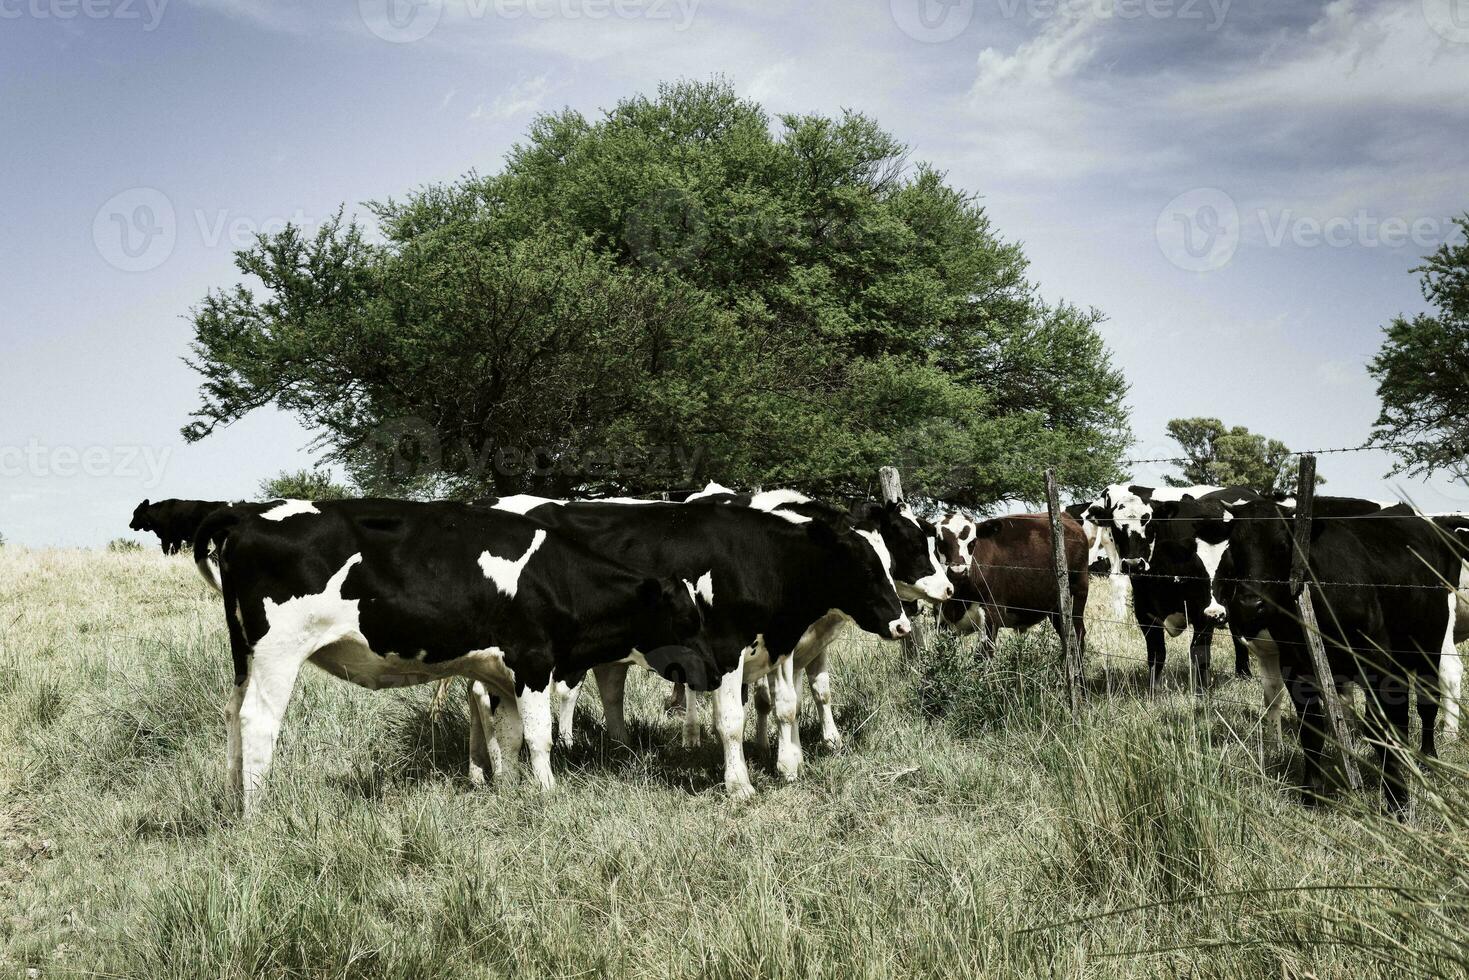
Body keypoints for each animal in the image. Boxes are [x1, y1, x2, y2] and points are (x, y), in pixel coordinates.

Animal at [192, 502, 719, 816]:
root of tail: (246, 514)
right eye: (686, 620)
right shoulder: (532, 661)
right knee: (258, 721)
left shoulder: (501, 673)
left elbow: (508, 736)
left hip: (244, 655)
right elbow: (539, 736)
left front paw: (510, 790)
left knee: (232, 714)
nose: (715, 672)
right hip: (278, 652)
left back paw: (232, 800)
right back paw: (256, 811)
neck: (555, 577)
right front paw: (548, 792)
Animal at [934, 514, 1087, 658]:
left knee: (1077, 636)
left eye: (973, 542)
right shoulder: (941, 619)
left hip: (1076, 597)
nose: (958, 572)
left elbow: (982, 655)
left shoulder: (991, 615)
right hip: (1055, 609)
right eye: (939, 542)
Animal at [1228, 499, 1469, 811]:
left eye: (1283, 545)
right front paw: (1311, 793)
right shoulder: (1295, 667)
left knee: (1427, 703)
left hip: (1429, 643)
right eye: (1233, 545)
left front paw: (1397, 802)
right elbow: (1311, 729)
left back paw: (1427, 758)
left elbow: (1380, 728)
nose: (1250, 603)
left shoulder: (1376, 663)